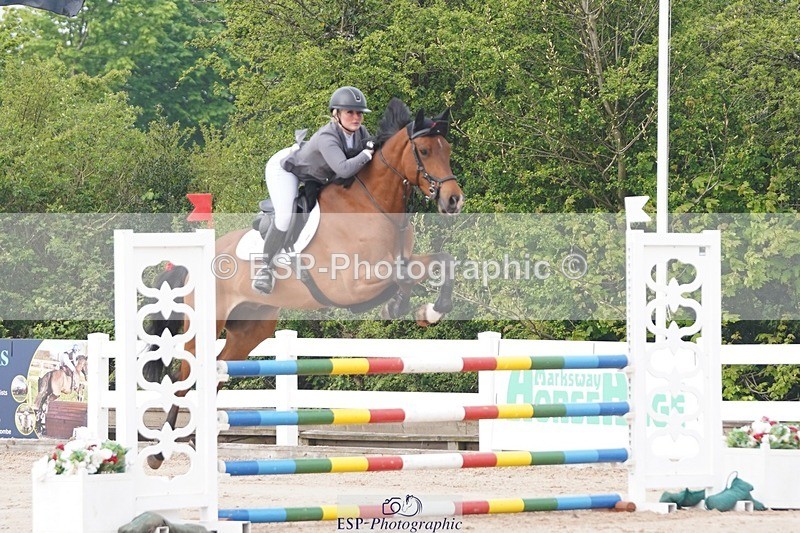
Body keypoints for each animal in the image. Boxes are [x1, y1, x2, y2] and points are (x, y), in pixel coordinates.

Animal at [144, 98, 464, 468]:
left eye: (447, 150)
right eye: (424, 150)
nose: (454, 200)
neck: (376, 206)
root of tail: (193, 265)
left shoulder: (401, 262)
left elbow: (440, 261)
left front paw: (430, 310)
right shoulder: (350, 286)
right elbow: (400, 276)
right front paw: (404, 305)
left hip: (252, 328)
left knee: (213, 377)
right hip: (206, 327)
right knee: (184, 382)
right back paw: (160, 453)